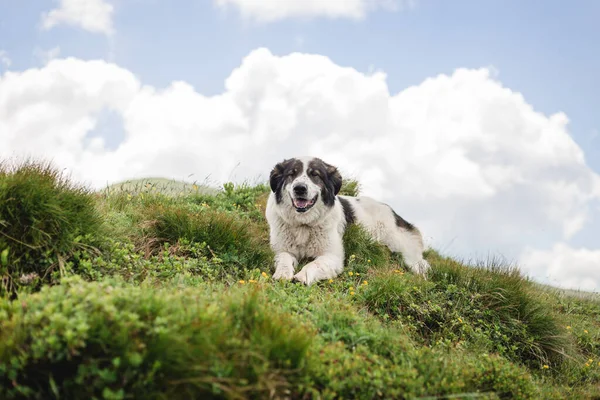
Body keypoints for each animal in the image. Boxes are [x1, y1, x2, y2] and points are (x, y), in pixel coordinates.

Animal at [264, 156, 428, 284]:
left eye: (315, 175)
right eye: (291, 174)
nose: (299, 188)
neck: (303, 224)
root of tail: (393, 212)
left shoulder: (332, 256)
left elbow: (314, 264)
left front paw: (302, 276)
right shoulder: (282, 249)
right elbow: (284, 258)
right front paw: (282, 273)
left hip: (401, 248)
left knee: (420, 264)